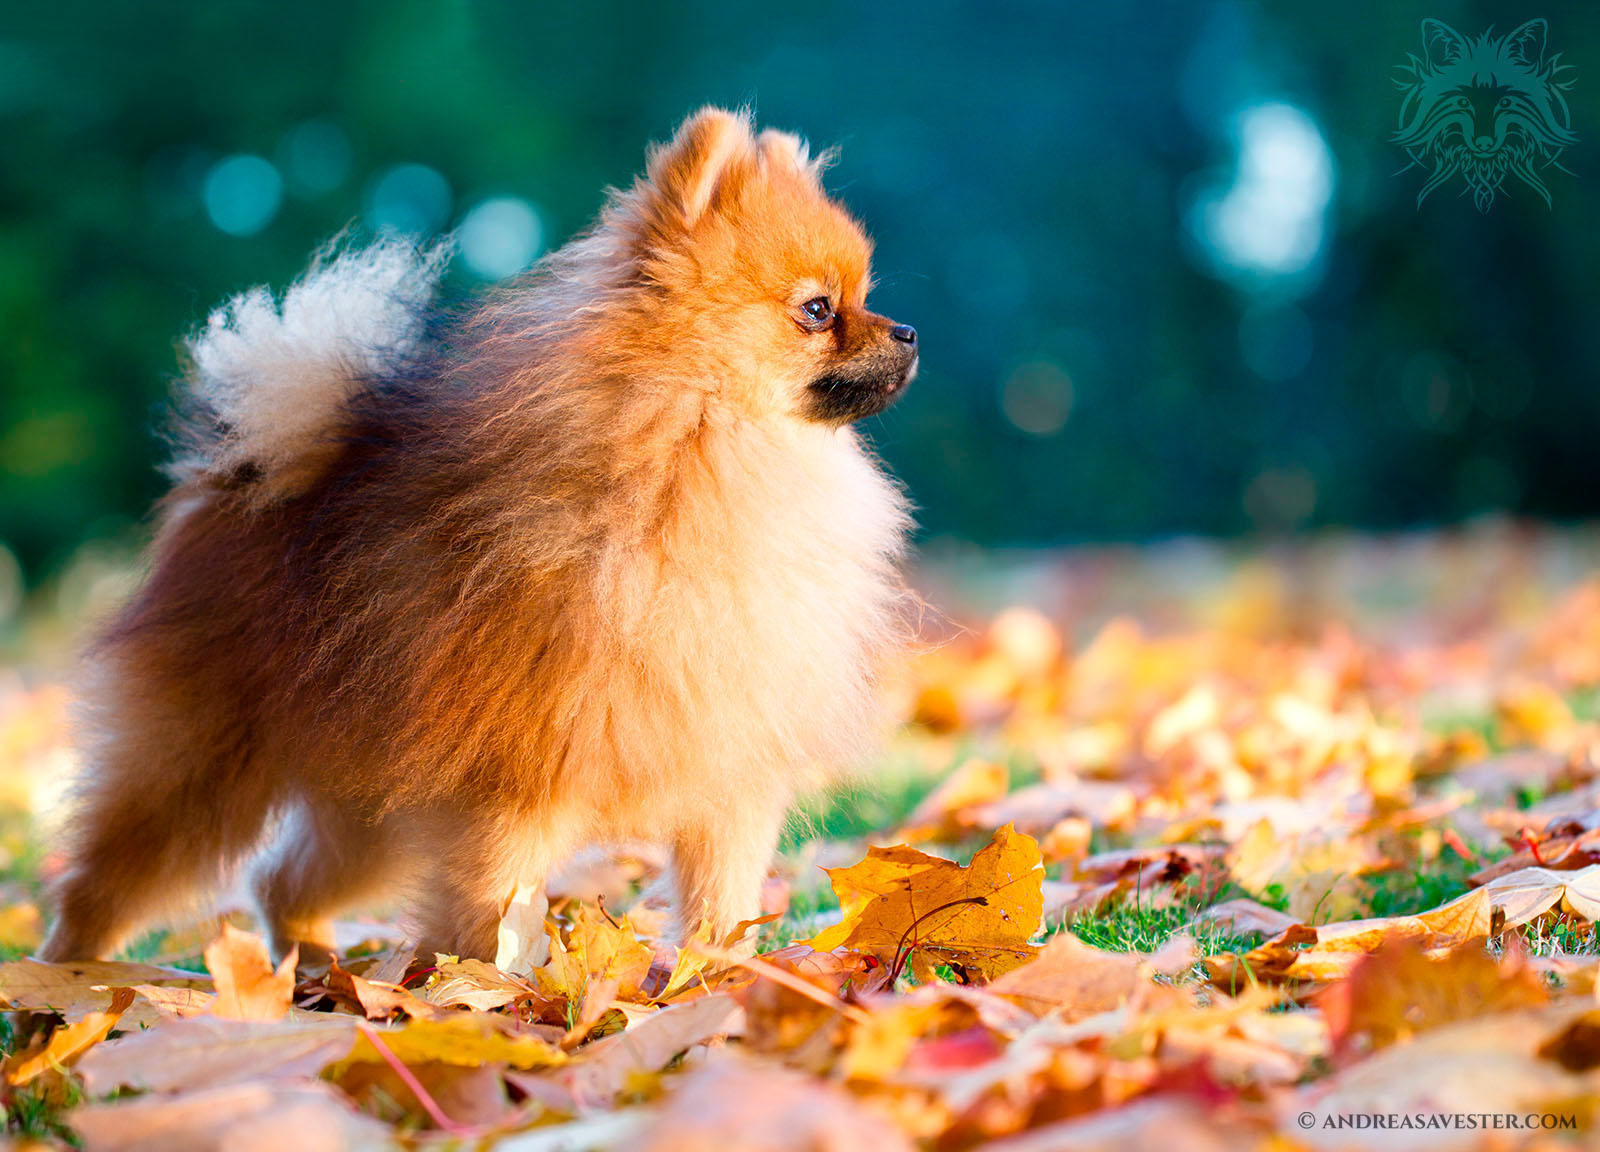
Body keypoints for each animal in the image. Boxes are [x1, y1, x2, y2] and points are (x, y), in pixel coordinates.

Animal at [43, 108, 921, 966]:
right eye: (817, 310)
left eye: (865, 294)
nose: (910, 331)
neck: (701, 449)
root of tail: (244, 472)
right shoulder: (510, 791)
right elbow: (493, 919)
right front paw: (496, 997)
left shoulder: (730, 782)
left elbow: (720, 910)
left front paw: (719, 983)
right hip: (203, 773)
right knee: (107, 882)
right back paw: (65, 981)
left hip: (367, 807)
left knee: (280, 884)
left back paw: (318, 978)